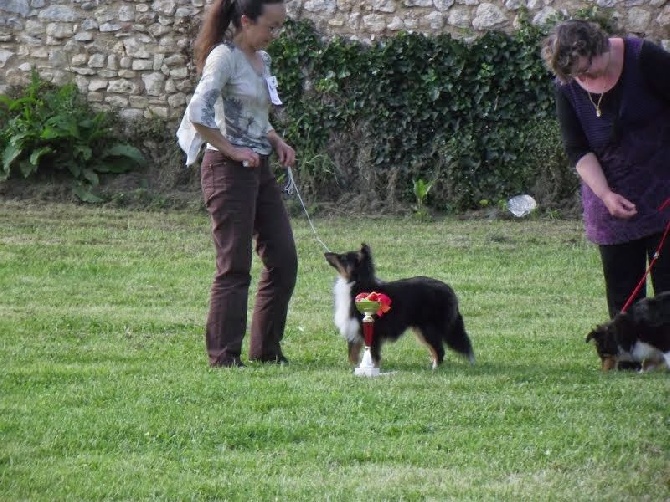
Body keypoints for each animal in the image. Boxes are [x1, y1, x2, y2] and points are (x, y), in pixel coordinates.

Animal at [324, 243, 472, 368]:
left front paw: (372, 370)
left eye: (343, 257)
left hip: (428, 328)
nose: (326, 253)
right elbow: (353, 355)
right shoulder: (353, 328)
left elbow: (373, 356)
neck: (357, 283)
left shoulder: (372, 331)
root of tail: (449, 290)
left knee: (439, 350)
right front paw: (353, 369)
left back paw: (434, 368)